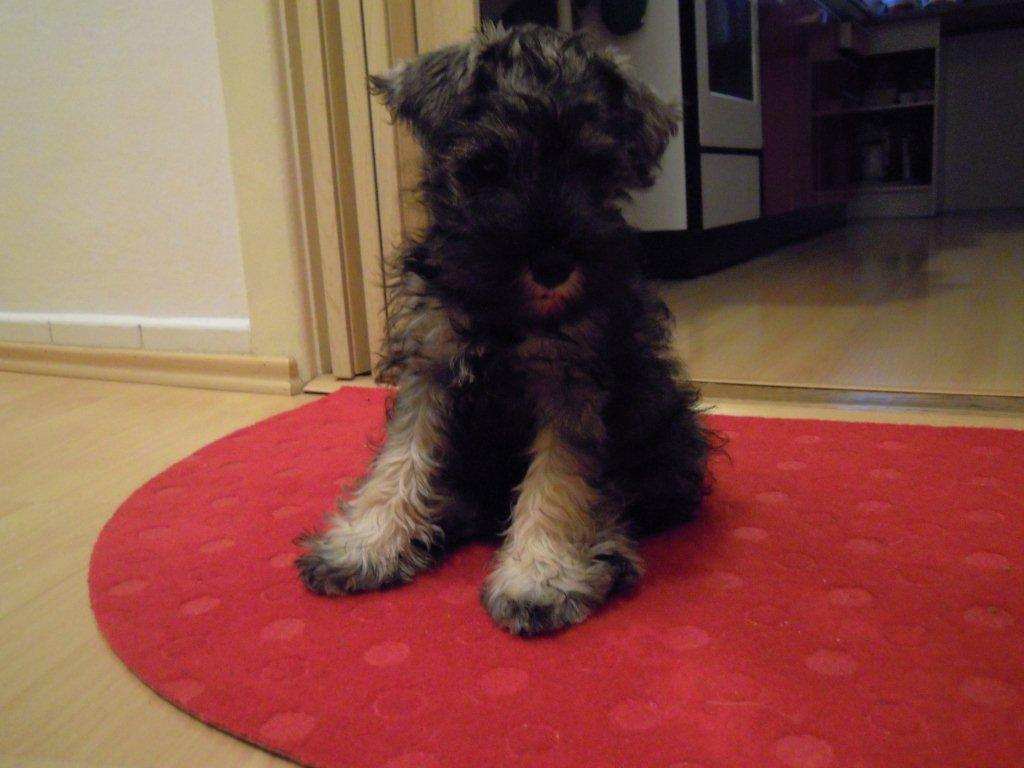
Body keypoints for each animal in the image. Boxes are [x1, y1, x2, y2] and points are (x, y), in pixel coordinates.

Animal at [298, 23, 712, 635]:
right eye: (488, 167)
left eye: (594, 170)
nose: (553, 264)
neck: (502, 310)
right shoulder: (430, 367)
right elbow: (402, 457)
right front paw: (366, 544)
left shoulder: (568, 383)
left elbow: (559, 480)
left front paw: (539, 575)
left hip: (671, 437)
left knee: (627, 500)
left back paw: (606, 548)